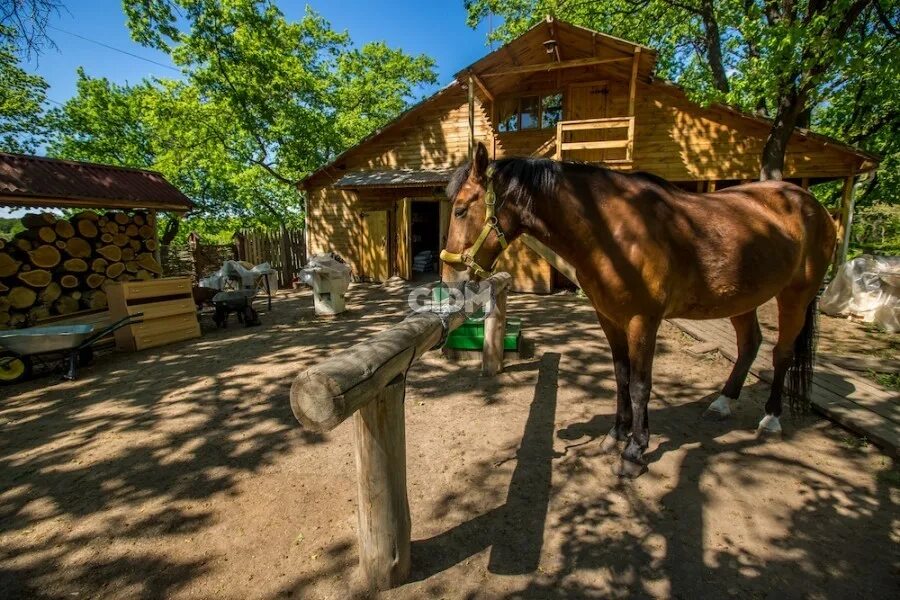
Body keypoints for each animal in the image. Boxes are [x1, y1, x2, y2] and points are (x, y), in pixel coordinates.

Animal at [442, 142, 836, 478]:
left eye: (460, 210)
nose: (450, 279)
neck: (614, 235)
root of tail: (809, 202)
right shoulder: (609, 319)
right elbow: (621, 376)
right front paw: (617, 434)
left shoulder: (642, 322)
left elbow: (640, 384)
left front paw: (634, 451)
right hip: (742, 298)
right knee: (750, 344)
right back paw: (723, 403)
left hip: (796, 295)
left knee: (782, 353)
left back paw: (771, 418)